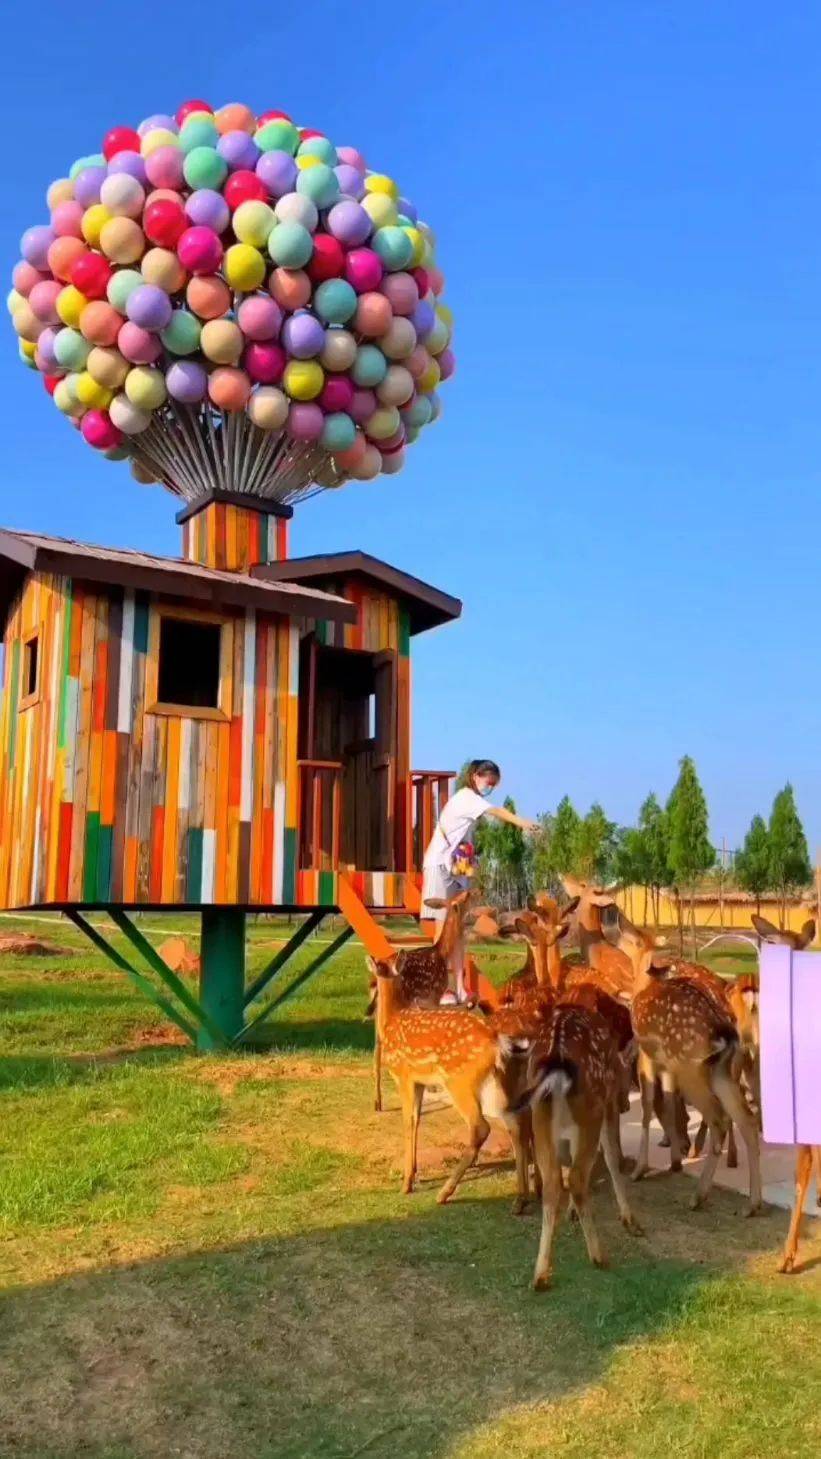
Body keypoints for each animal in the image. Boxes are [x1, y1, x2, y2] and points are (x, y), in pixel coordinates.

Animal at [367, 957, 524, 1196]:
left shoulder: (403, 1076)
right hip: (499, 1080)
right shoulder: (420, 1081)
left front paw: (406, 1183)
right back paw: (524, 1195)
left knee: (481, 1127)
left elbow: (407, 1121)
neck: (390, 1022)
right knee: (514, 1122)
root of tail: (497, 1041)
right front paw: (414, 1172)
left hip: (460, 1081)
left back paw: (445, 1192)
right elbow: (417, 1120)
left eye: (372, 983)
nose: (368, 1010)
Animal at [513, 1003, 641, 1289]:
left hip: (541, 1119)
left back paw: (540, 1275)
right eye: (630, 1073)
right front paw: (629, 1219)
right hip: (590, 1113)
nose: (627, 1103)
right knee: (578, 1178)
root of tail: (557, 1066)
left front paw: (571, 1213)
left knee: (554, 1183)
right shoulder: (608, 1106)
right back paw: (599, 1256)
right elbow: (613, 1158)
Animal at [621, 916, 764, 1213]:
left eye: (635, 937)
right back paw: (751, 1204)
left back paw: (699, 1195)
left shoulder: (647, 1054)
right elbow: (666, 1098)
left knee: (720, 1118)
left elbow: (649, 1105)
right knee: (745, 1117)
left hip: (692, 1069)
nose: (616, 920)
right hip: (723, 1070)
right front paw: (675, 1158)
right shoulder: (665, 1063)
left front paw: (640, 1169)